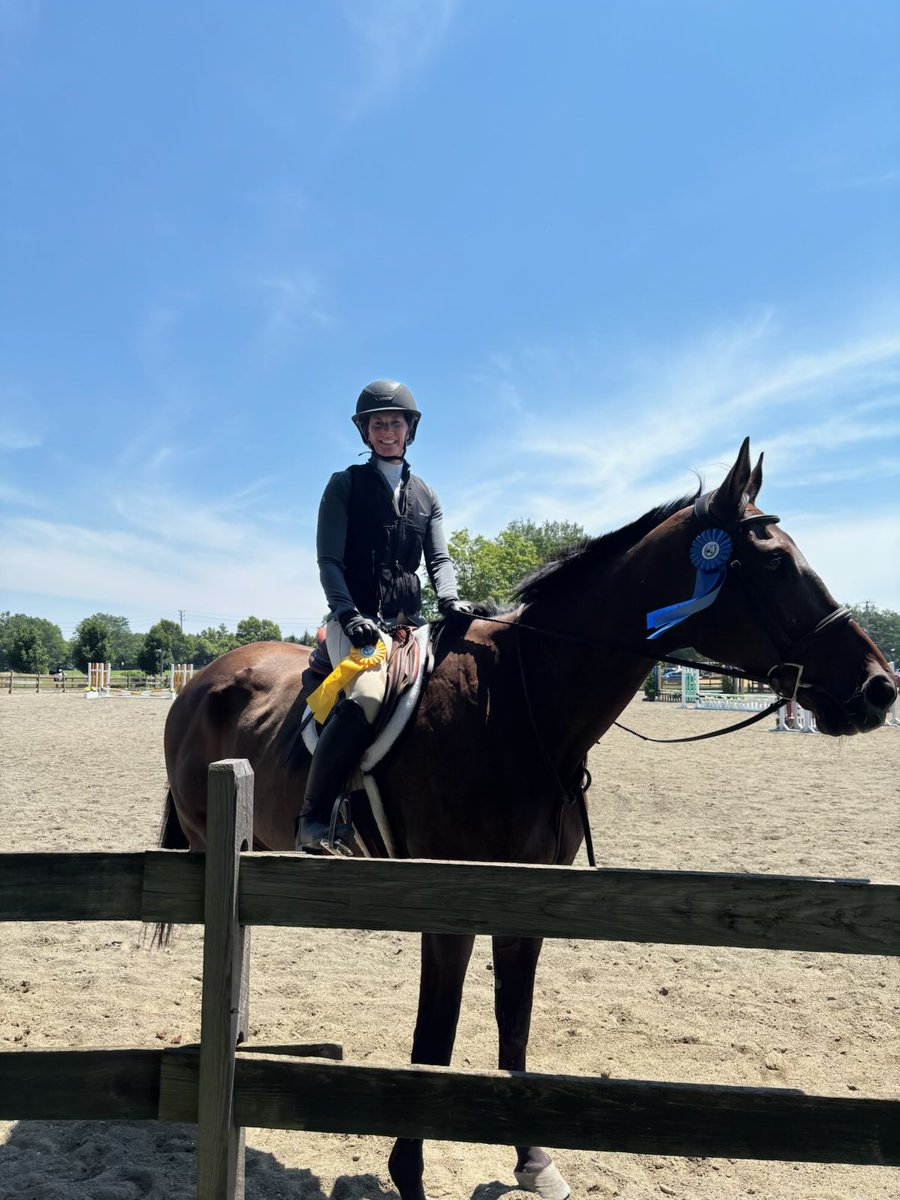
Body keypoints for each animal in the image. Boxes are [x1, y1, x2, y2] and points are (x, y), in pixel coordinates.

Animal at [160, 440, 896, 1200]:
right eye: (776, 564)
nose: (879, 688)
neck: (517, 703)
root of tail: (204, 679)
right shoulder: (447, 907)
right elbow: (435, 1041)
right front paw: (409, 1173)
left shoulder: (530, 898)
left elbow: (513, 1025)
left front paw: (533, 1160)